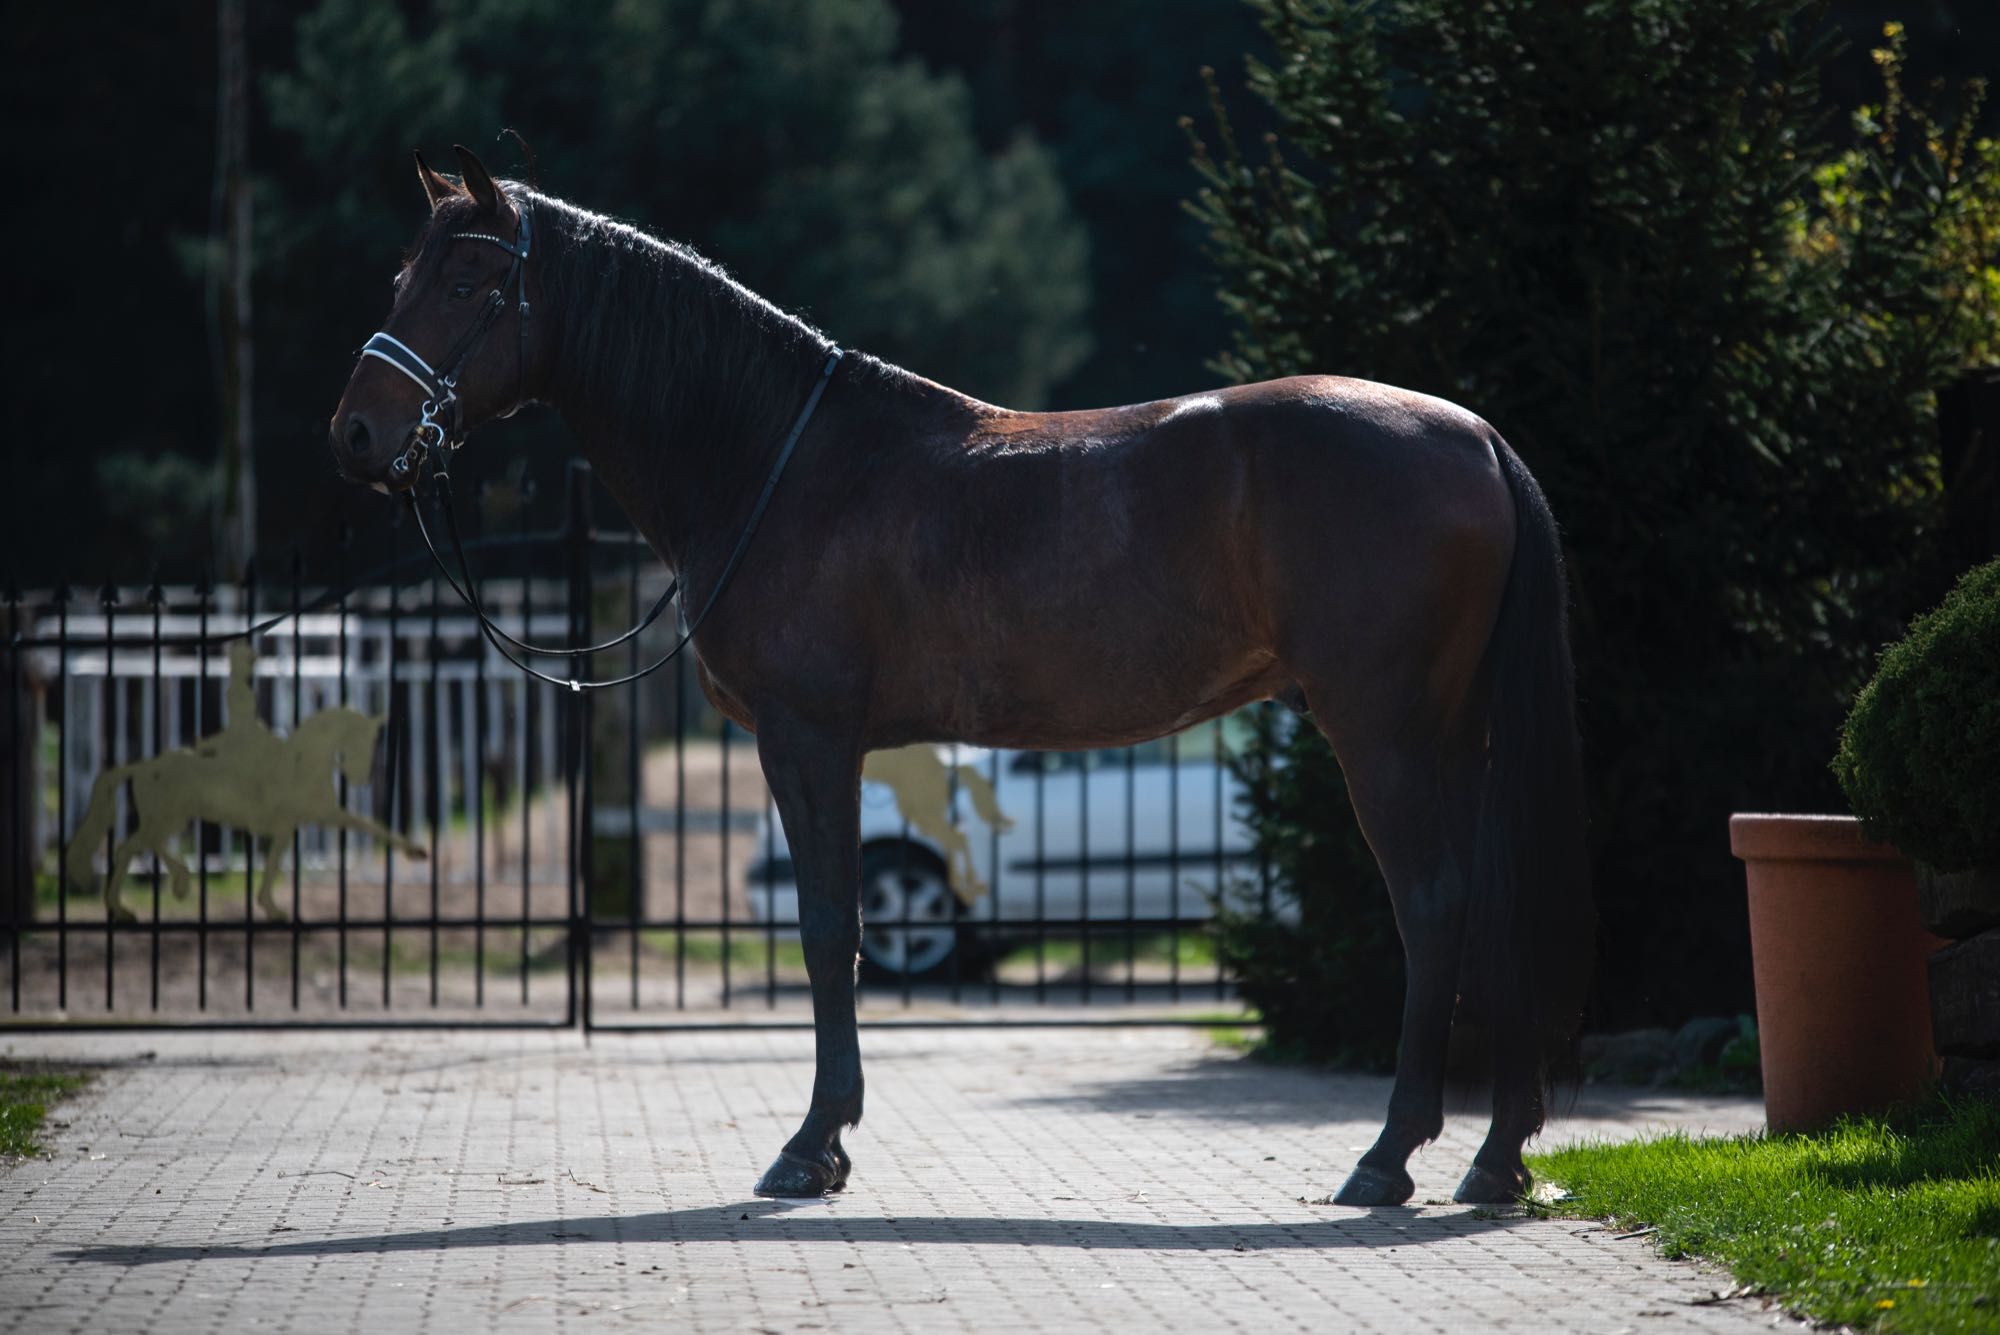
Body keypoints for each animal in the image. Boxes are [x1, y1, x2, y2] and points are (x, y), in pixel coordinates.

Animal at [332, 145, 1592, 1207]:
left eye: (465, 283)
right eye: (398, 274)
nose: (354, 435)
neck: (776, 457)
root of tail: (1476, 438)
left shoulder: (806, 737)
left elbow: (827, 928)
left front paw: (811, 1147)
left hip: (1382, 731)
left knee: (1433, 905)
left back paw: (1387, 1158)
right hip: (1452, 733)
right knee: (1491, 899)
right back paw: (1493, 1159)